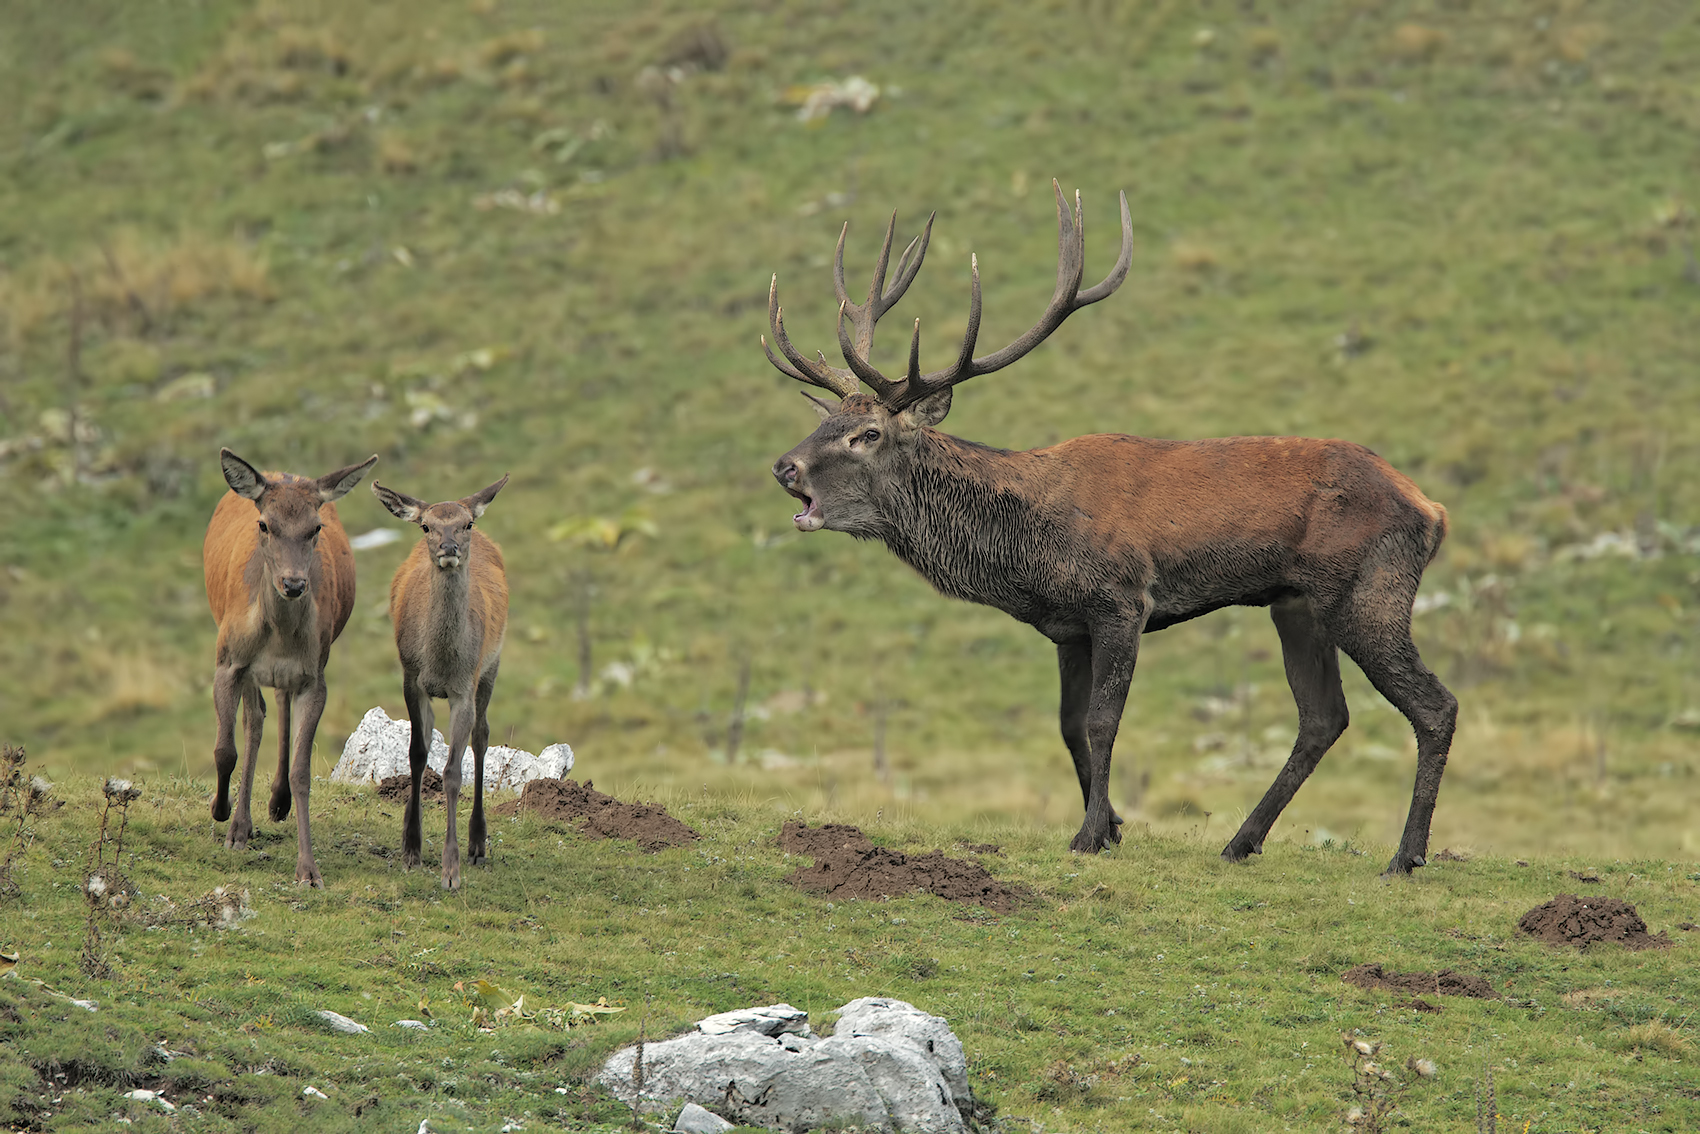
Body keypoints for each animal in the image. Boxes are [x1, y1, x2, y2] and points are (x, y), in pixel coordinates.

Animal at [203, 448, 378, 887]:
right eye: (264, 524)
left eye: (316, 527)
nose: (294, 584)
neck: (279, 639)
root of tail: (282, 472)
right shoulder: (228, 661)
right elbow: (225, 749)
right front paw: (221, 811)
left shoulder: (315, 677)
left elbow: (302, 772)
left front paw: (308, 870)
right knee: (255, 718)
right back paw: (240, 825)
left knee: (276, 705)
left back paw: (275, 802)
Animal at [371, 475, 510, 890]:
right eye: (426, 526)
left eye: (467, 524)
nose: (449, 548)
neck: (441, 662)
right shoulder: (411, 679)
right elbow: (417, 754)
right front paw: (410, 849)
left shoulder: (464, 686)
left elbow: (452, 772)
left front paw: (451, 871)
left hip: (492, 666)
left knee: (482, 736)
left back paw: (478, 843)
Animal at [764, 182, 1457, 875]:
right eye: (825, 421)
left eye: (867, 434)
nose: (783, 466)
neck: (1028, 552)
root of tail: (1433, 510)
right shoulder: (1068, 627)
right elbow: (1070, 724)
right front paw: (1114, 825)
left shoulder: (1122, 600)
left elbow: (1104, 720)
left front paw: (1091, 834)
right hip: (1296, 603)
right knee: (1323, 718)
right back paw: (1241, 841)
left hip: (1368, 591)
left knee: (1434, 706)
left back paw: (1406, 856)